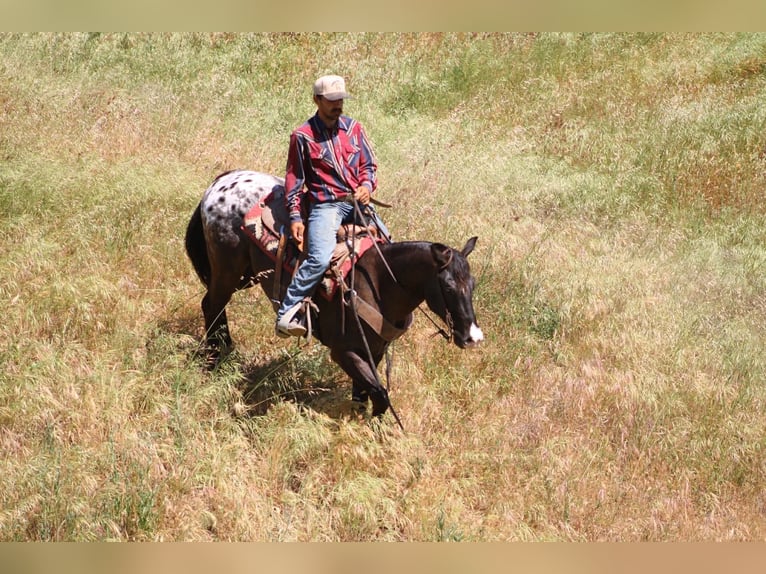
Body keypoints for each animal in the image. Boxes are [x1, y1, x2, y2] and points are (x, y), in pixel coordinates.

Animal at [184, 169, 483, 417]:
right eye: (448, 286)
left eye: (473, 285)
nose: (473, 338)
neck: (379, 284)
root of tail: (221, 182)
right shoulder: (344, 352)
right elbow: (380, 396)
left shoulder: (374, 351)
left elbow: (364, 395)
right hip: (228, 272)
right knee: (212, 306)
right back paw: (216, 359)